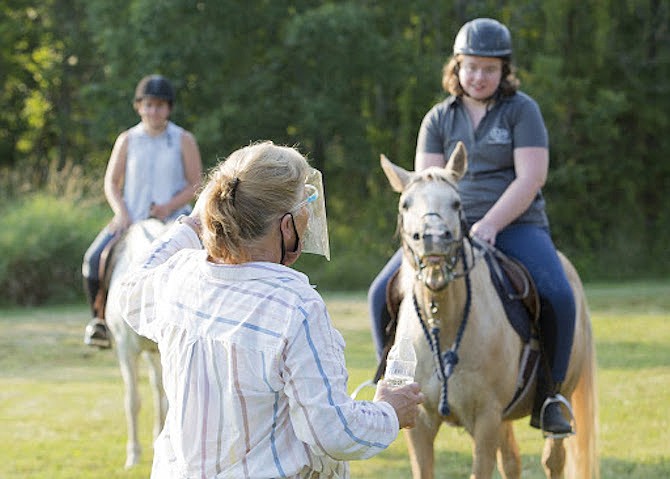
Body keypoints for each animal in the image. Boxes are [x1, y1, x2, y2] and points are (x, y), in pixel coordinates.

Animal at [380, 142, 600, 479]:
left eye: (456, 203)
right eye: (406, 204)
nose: (433, 239)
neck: (443, 322)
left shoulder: (485, 419)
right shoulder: (419, 422)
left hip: (555, 403)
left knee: (553, 459)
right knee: (511, 461)